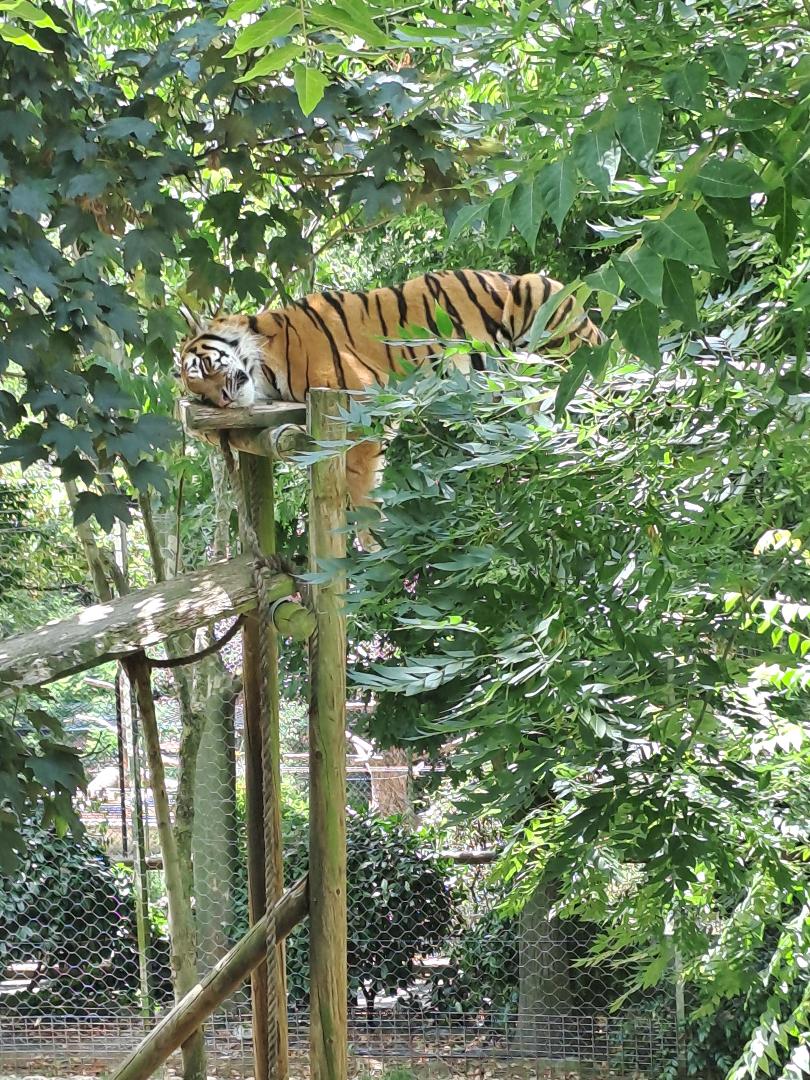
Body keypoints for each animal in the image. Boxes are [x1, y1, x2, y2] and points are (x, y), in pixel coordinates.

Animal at [177, 269, 603, 510]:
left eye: (204, 369)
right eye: (202, 397)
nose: (222, 399)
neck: (266, 364)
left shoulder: (357, 404)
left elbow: (357, 479)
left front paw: (369, 541)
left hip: (537, 303)